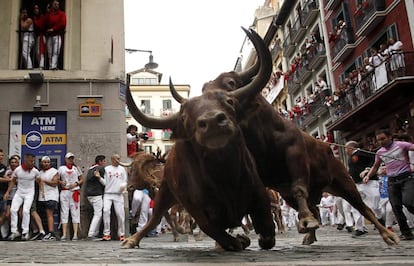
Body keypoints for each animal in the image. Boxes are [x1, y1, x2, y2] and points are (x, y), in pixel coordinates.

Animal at [123, 28, 278, 250]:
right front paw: (234, 240)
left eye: (229, 101)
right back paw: (133, 239)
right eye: (185, 117)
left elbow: (265, 225)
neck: (224, 175)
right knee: (156, 218)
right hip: (166, 193)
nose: (212, 121)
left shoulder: (258, 190)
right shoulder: (192, 206)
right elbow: (208, 227)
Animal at [170, 45, 400, 245]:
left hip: (343, 181)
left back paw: (388, 235)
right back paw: (309, 235)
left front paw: (303, 222)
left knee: (362, 206)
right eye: (205, 90)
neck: (263, 137)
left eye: (230, 83)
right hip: (289, 195)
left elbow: (299, 187)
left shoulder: (295, 155)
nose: (210, 115)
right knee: (315, 208)